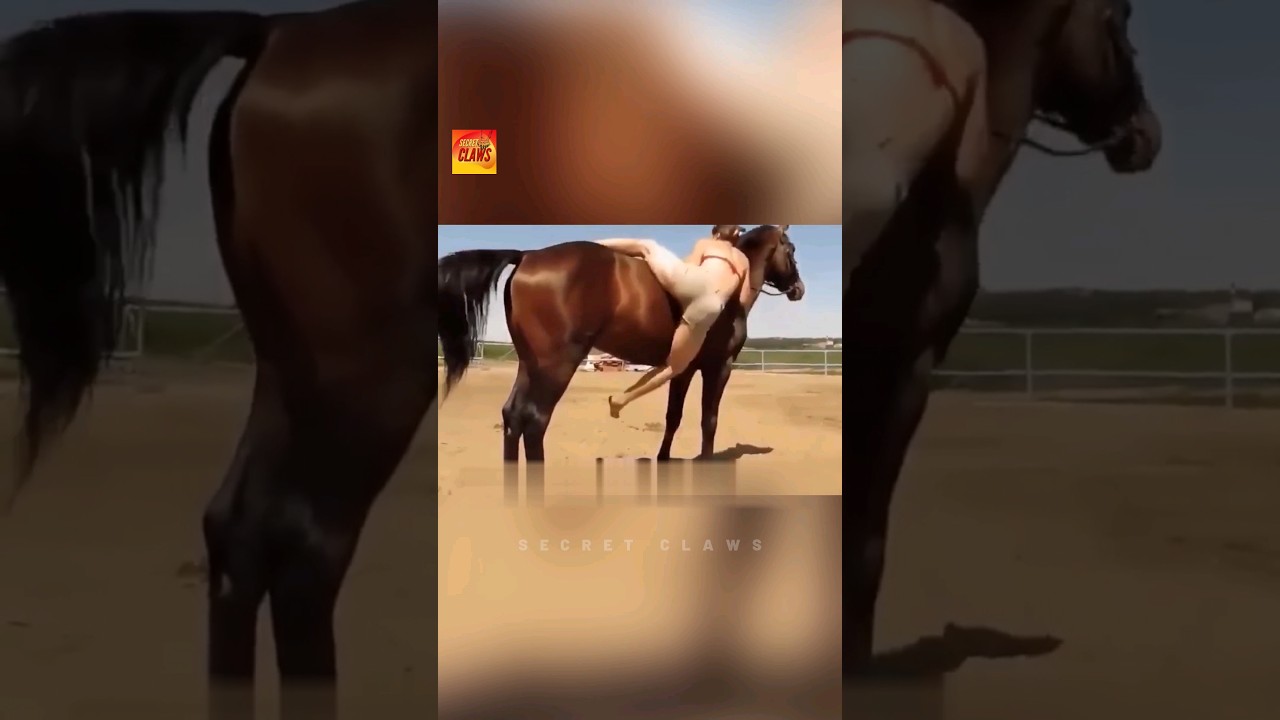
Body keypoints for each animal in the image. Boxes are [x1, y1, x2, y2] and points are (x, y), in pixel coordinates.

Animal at [437, 225, 804, 485]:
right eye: (791, 249)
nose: (799, 289)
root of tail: (527, 255)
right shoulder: (718, 367)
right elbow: (708, 420)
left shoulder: (685, 368)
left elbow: (674, 417)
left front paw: (664, 461)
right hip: (557, 365)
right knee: (535, 420)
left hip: (530, 364)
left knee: (513, 415)